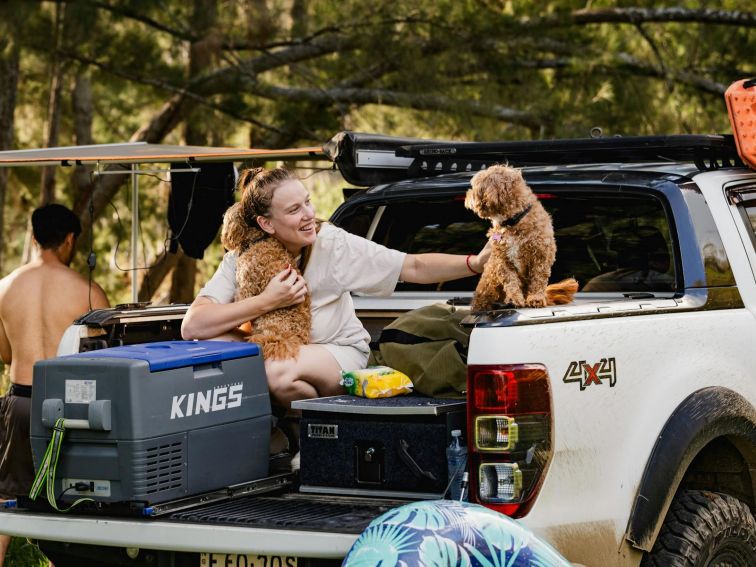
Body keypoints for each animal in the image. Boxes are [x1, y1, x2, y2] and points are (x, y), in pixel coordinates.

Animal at [464, 164, 576, 310]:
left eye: (474, 187)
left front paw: (535, 299)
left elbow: (538, 280)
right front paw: (514, 299)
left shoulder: (541, 256)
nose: (466, 196)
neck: (512, 222)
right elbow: (511, 281)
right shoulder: (502, 260)